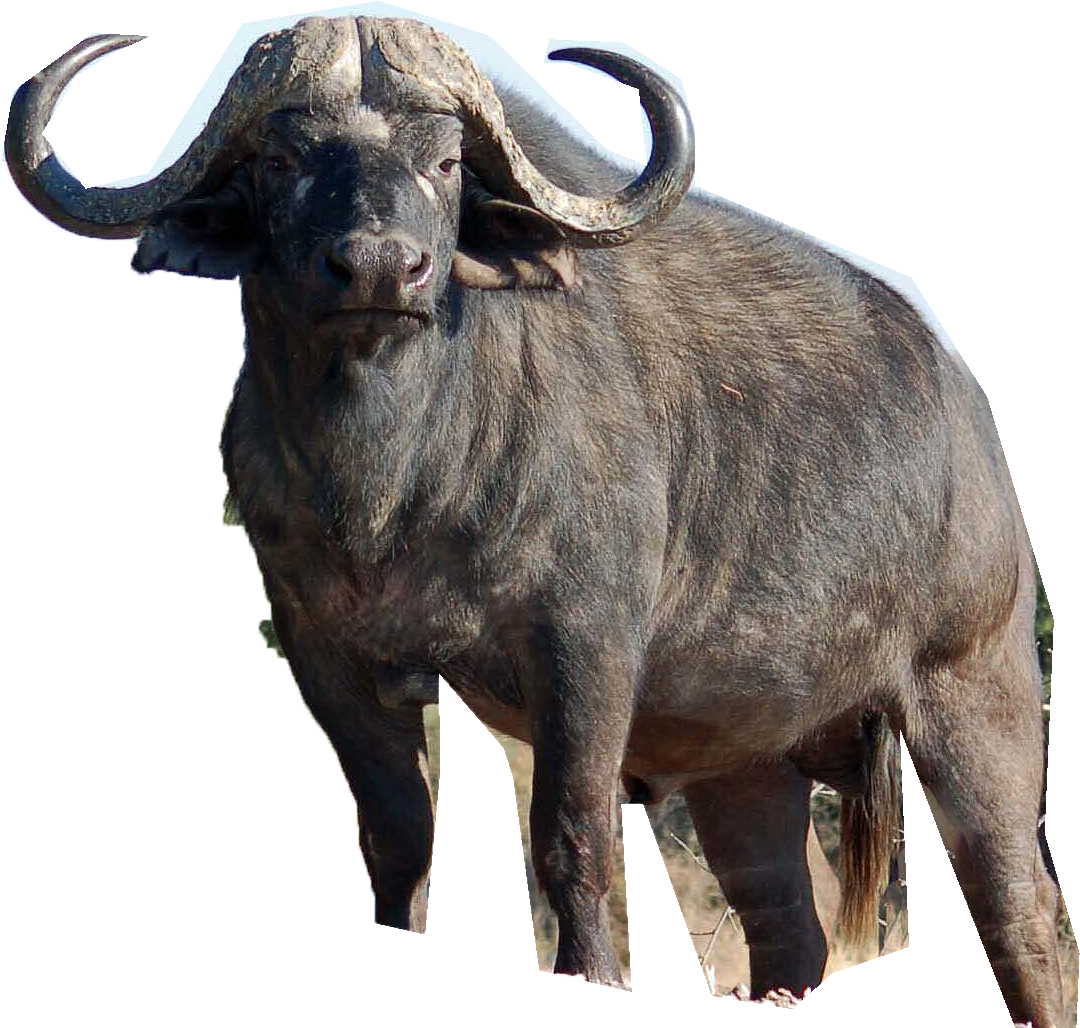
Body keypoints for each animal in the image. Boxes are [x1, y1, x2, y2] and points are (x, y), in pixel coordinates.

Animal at [6, 16, 1064, 1023]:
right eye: (280, 160)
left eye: (444, 162)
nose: (381, 267)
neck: (393, 487)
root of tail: (966, 411)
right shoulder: (325, 653)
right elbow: (397, 838)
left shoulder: (582, 647)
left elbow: (571, 840)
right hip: (745, 763)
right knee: (784, 921)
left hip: (978, 701)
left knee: (1021, 907)